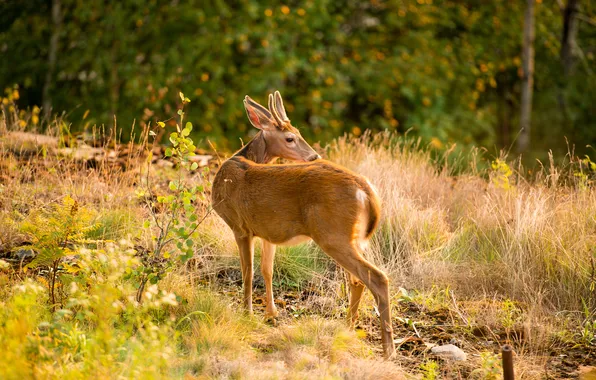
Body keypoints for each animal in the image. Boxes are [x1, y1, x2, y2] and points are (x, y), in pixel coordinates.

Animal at [211, 90, 396, 358]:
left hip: (332, 234)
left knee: (377, 278)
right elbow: (266, 270)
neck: (240, 161)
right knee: (358, 280)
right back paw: (347, 328)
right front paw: (271, 314)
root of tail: (367, 191)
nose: (314, 156)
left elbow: (248, 272)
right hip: (354, 238)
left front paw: (246, 314)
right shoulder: (267, 232)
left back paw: (388, 349)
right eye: (290, 137)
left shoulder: (240, 226)